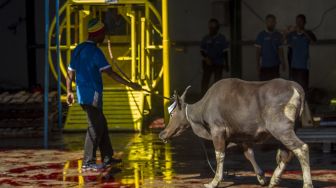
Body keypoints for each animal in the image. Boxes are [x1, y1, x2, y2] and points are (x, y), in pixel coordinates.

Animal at [159, 78, 314, 188]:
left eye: (172, 114)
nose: (162, 133)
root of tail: (296, 88)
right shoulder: (243, 135)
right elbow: (249, 154)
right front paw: (261, 177)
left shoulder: (217, 130)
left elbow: (219, 155)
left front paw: (214, 182)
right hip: (289, 129)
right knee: (287, 153)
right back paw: (274, 180)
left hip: (281, 128)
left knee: (301, 148)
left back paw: (307, 183)